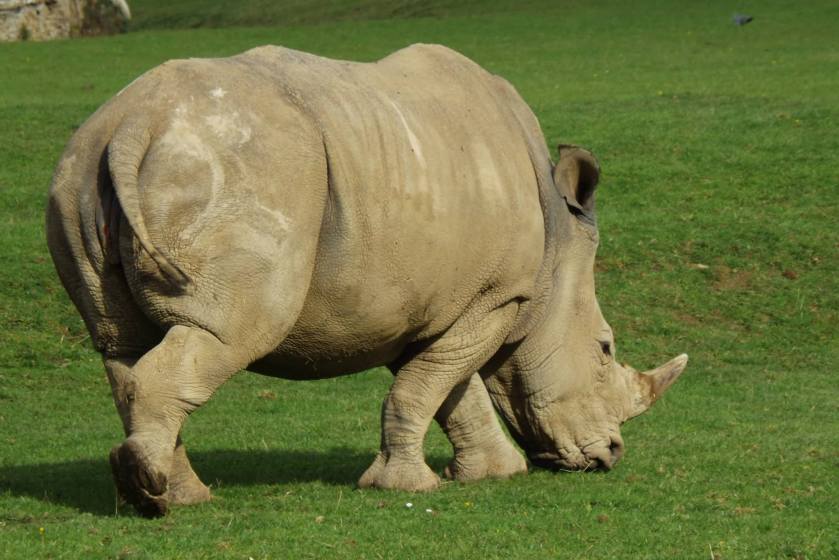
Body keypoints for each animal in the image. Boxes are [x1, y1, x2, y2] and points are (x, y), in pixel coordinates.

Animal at [46, 44, 687, 517]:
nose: (611, 455)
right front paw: (408, 488)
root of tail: (135, 124)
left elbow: (448, 388)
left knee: (121, 348)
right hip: (247, 173)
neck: (557, 246)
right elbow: (433, 385)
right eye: (604, 350)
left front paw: (493, 474)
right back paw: (157, 497)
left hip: (78, 171)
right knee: (229, 332)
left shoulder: (432, 302)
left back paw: (168, 493)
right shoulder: (499, 296)